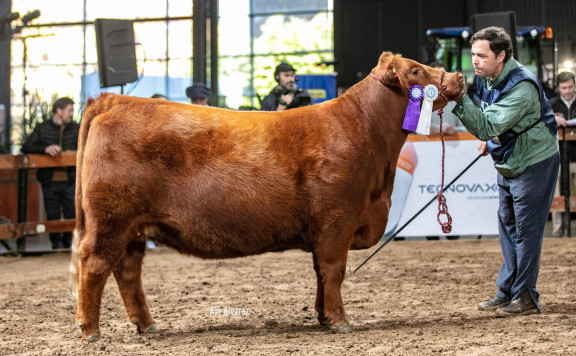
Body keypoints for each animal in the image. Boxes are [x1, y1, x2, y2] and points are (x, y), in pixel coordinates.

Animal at [70, 51, 466, 340]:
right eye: (415, 70)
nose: (460, 78)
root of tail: (114, 100)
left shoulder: (325, 228)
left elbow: (320, 273)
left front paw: (322, 317)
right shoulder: (338, 218)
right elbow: (334, 270)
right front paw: (340, 320)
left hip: (133, 228)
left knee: (128, 272)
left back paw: (148, 326)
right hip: (111, 221)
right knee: (94, 265)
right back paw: (91, 331)